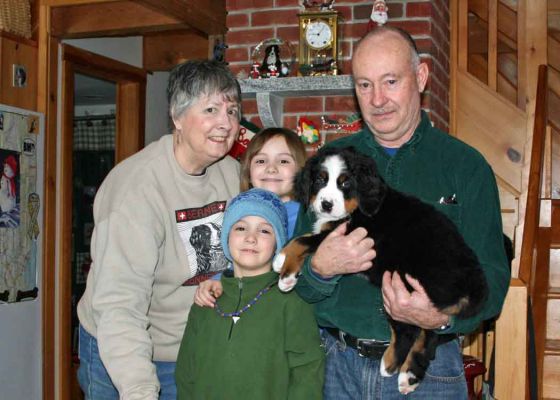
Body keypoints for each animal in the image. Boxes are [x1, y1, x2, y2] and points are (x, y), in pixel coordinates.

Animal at [274, 146, 488, 394]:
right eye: (320, 179)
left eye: (346, 183)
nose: (326, 204)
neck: (359, 207)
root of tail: (472, 277)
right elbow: (307, 236)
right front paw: (283, 261)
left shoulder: (341, 234)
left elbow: (306, 240)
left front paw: (284, 270)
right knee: (428, 334)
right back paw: (408, 374)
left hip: (405, 290)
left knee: (412, 331)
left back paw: (394, 366)